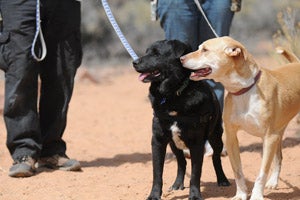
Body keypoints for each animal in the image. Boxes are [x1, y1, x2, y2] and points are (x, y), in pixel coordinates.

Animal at [132, 39, 229, 199]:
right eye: (147, 52)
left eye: (156, 53)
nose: (134, 62)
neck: (173, 94)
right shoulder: (158, 140)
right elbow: (157, 173)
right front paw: (154, 195)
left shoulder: (197, 144)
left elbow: (195, 174)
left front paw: (195, 195)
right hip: (173, 143)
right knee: (181, 162)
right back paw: (177, 184)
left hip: (215, 136)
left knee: (216, 157)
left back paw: (222, 179)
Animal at [180, 36, 300, 200]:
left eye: (205, 50)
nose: (180, 58)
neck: (245, 91)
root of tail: (296, 63)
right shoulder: (231, 136)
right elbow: (237, 171)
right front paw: (241, 194)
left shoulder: (269, 137)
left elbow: (262, 173)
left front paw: (256, 195)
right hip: (279, 132)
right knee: (279, 157)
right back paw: (273, 181)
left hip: (275, 135)